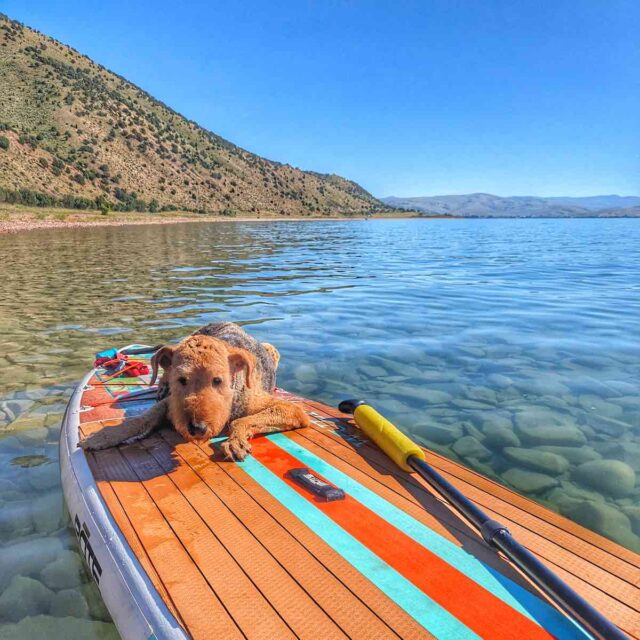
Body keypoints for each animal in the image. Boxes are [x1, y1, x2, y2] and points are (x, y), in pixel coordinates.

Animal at [80, 324, 310, 460]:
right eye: (182, 380)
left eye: (218, 380)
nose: (197, 428)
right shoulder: (171, 403)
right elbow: (143, 418)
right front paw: (105, 436)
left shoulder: (292, 411)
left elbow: (240, 421)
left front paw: (235, 442)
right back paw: (161, 384)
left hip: (272, 350)